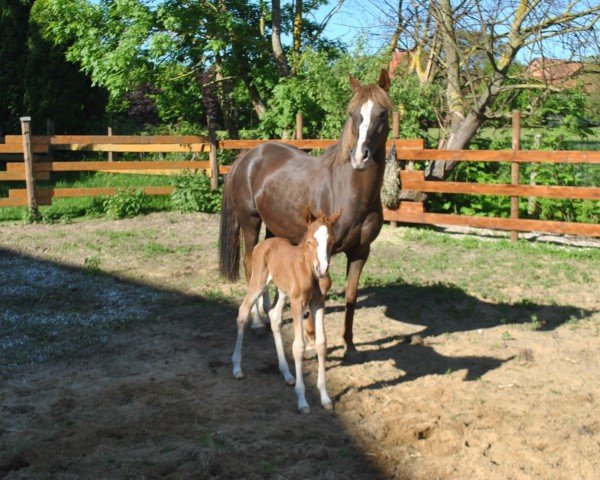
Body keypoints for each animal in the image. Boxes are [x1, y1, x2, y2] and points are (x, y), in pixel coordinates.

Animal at [221, 69, 394, 358]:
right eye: (352, 113)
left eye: (382, 113)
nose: (360, 158)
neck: (348, 190)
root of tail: (247, 157)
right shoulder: (324, 250)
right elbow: (321, 289)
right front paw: (313, 340)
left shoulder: (361, 251)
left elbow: (351, 295)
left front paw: (349, 345)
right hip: (250, 223)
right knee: (249, 266)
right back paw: (257, 321)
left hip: (274, 227)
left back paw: (271, 314)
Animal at [231, 208, 340, 414]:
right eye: (310, 240)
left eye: (332, 240)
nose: (322, 270)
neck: (308, 270)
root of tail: (262, 244)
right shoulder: (297, 303)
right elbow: (298, 347)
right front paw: (302, 400)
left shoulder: (318, 303)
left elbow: (321, 344)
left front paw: (325, 397)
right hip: (258, 283)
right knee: (242, 313)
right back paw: (237, 368)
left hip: (282, 291)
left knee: (274, 318)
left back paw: (288, 374)